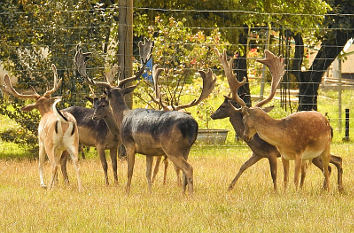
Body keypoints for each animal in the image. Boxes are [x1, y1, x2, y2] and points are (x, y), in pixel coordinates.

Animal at [210, 48, 342, 191]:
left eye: (222, 106)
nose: (245, 136)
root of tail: (330, 126)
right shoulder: (259, 154)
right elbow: (244, 166)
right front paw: (230, 187)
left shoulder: (273, 154)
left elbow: (275, 175)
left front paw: (276, 191)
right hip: (315, 154)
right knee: (332, 164)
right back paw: (334, 188)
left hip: (319, 151)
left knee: (330, 165)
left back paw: (330, 188)